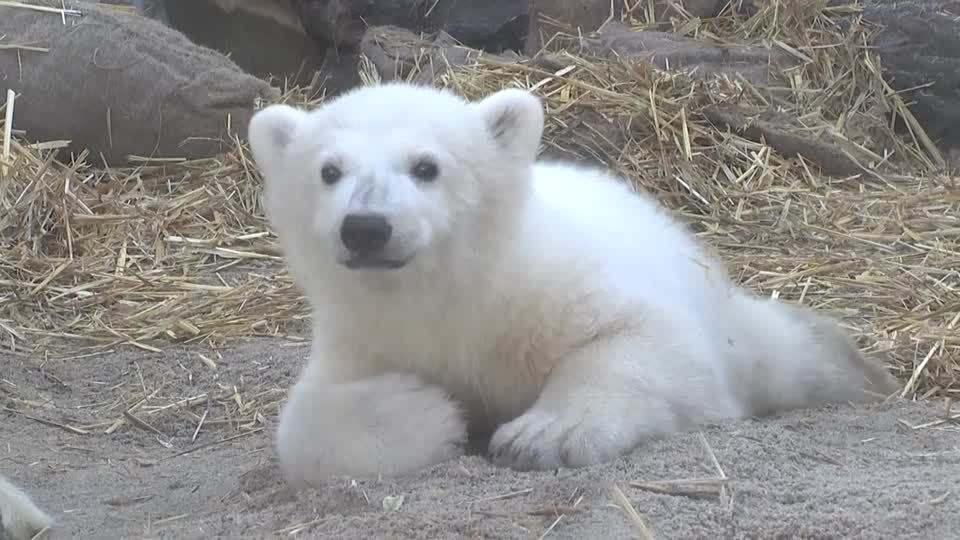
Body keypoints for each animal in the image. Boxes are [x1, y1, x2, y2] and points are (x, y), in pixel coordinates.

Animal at [246, 81, 899, 489]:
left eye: (426, 167)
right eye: (329, 171)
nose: (366, 227)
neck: (451, 291)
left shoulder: (547, 282)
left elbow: (650, 339)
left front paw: (544, 435)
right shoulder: (366, 331)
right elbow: (303, 425)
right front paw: (428, 410)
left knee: (775, 350)